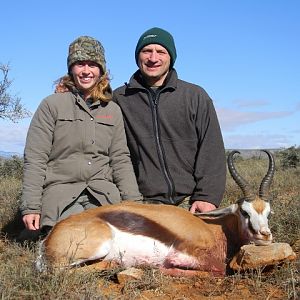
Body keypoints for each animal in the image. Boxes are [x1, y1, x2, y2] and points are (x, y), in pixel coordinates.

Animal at [36, 150, 276, 276]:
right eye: (244, 212)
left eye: (268, 212)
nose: (264, 235)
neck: (213, 229)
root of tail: (50, 238)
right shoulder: (185, 255)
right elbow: (216, 269)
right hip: (95, 249)